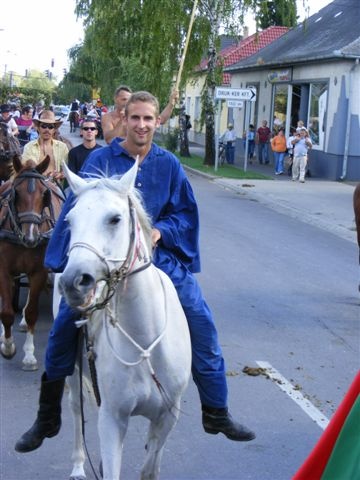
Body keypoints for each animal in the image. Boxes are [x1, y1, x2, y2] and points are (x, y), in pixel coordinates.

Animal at [0, 156, 65, 370]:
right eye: (16, 194)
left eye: (44, 194)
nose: (31, 237)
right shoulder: (3, 270)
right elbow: (6, 312)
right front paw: (8, 347)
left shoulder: (39, 272)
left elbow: (31, 313)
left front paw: (29, 355)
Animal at [58, 162, 193, 480]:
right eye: (69, 220)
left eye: (115, 219)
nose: (73, 282)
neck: (145, 343)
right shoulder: (112, 418)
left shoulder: (167, 417)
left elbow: (149, 469)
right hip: (73, 375)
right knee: (75, 411)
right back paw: (78, 466)